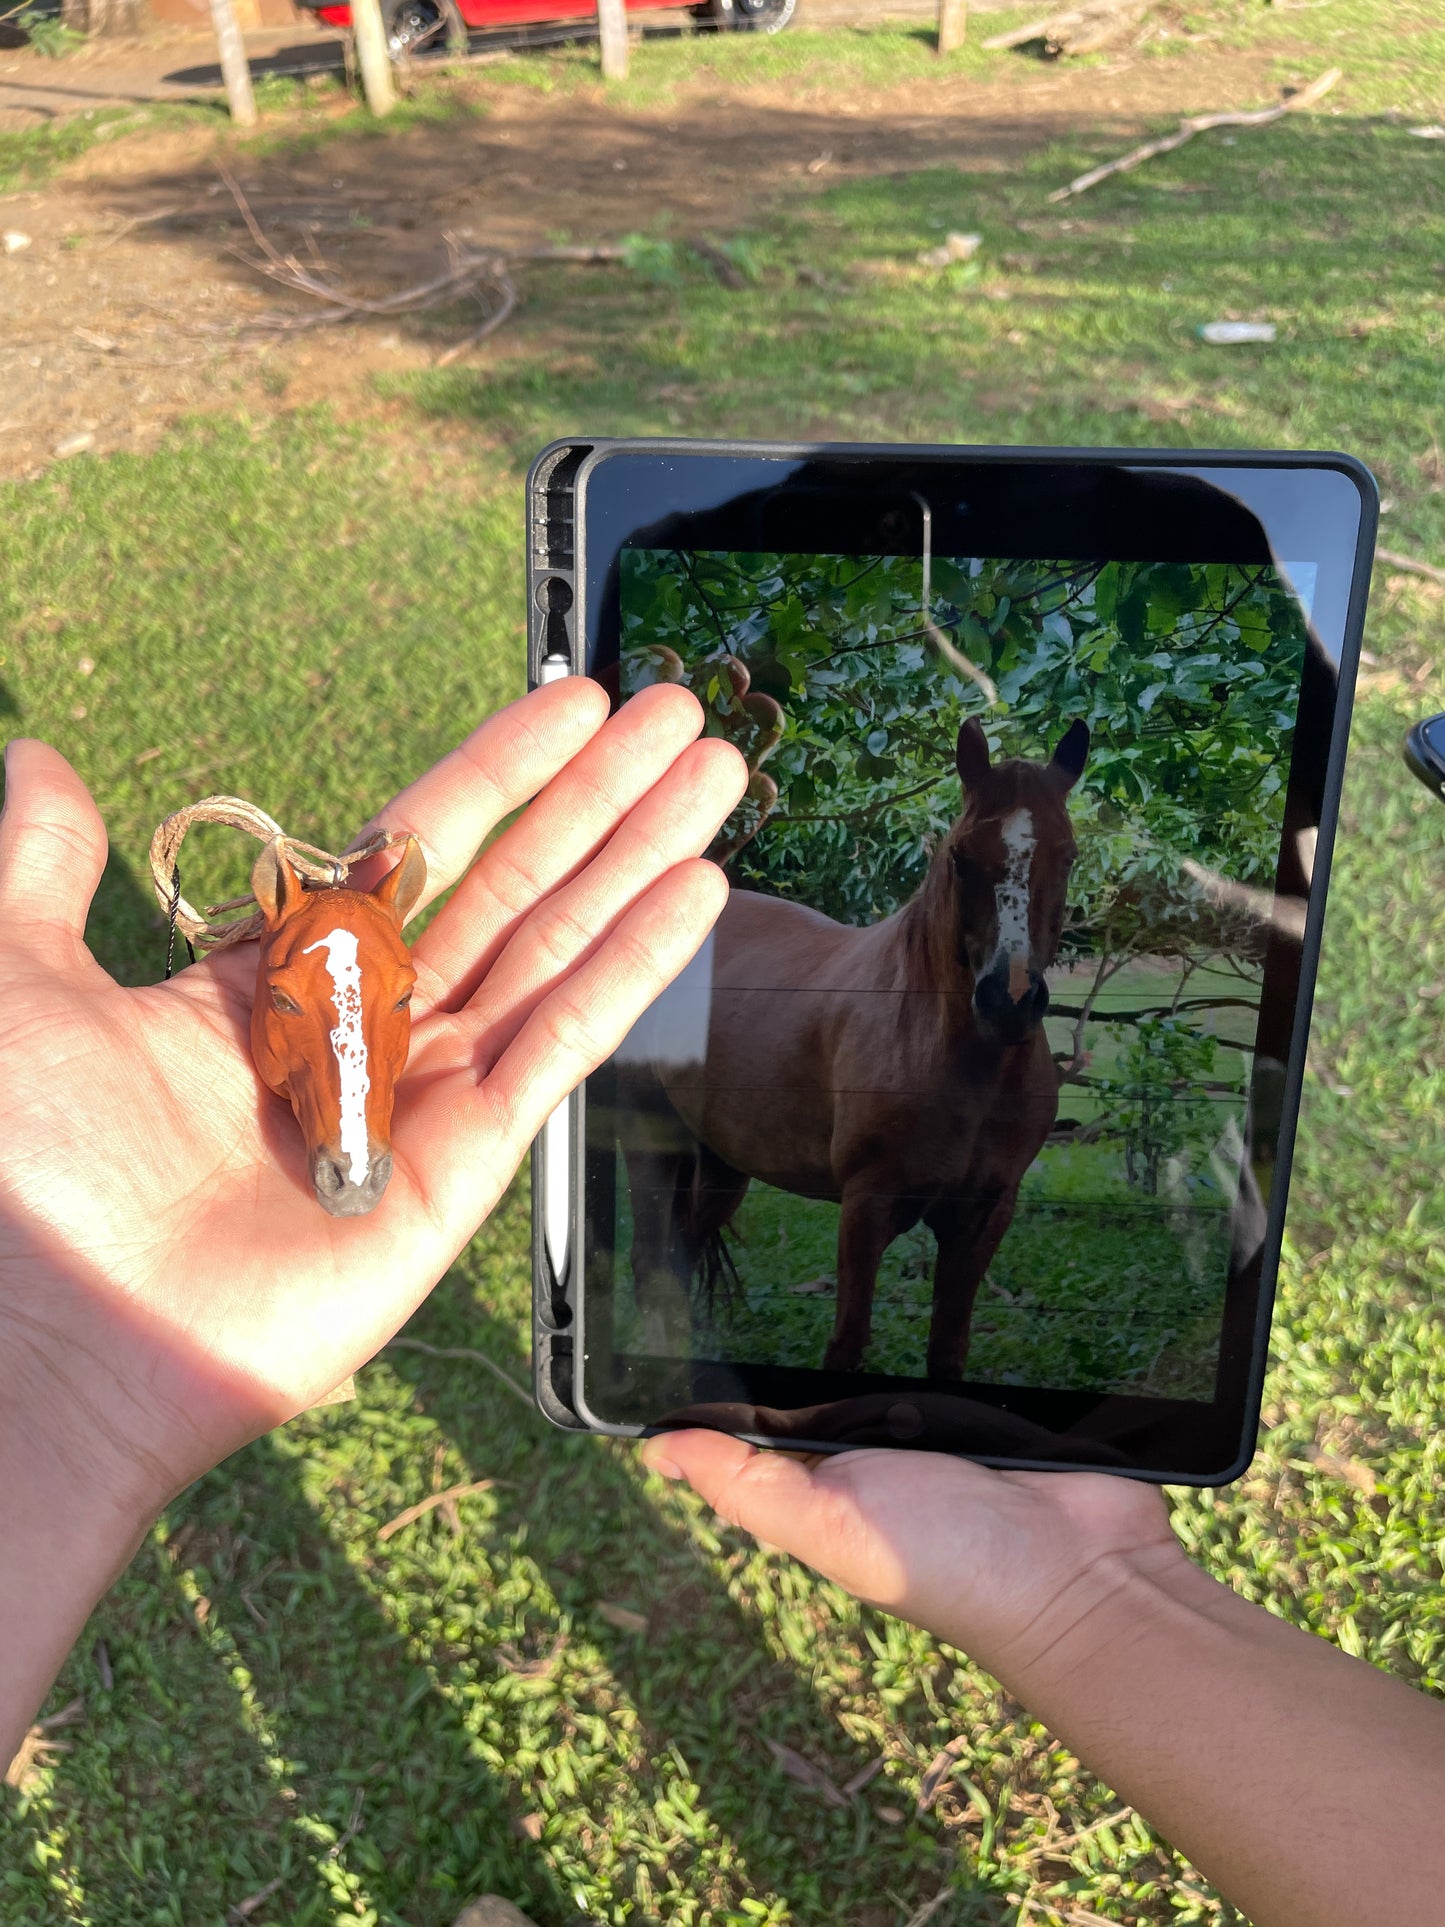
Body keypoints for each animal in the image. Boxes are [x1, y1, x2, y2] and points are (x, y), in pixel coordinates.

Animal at [617, 717, 1088, 1378]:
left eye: (1066, 856)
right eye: (962, 858)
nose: (1009, 1001)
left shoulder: (984, 1214)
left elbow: (948, 1348)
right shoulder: (866, 1208)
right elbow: (847, 1343)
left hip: (721, 1161)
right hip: (649, 1136)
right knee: (650, 1267)